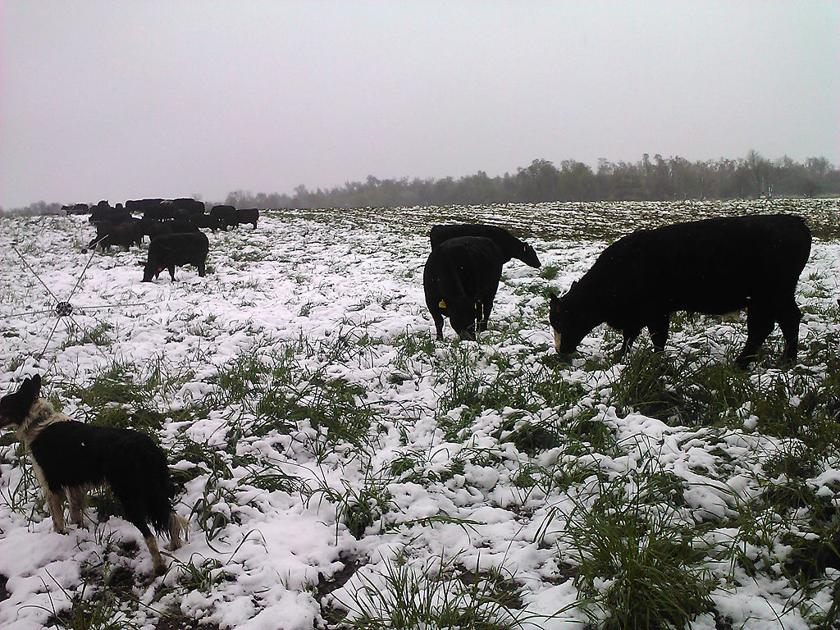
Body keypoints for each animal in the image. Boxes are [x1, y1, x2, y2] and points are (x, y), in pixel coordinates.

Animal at [548, 215, 812, 368]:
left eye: (560, 321)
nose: (561, 352)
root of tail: (794, 221)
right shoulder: (638, 316)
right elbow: (629, 337)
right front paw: (620, 357)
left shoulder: (656, 312)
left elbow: (657, 338)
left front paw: (654, 361)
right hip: (771, 298)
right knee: (779, 323)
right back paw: (780, 360)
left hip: (770, 296)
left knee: (771, 325)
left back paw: (751, 363)